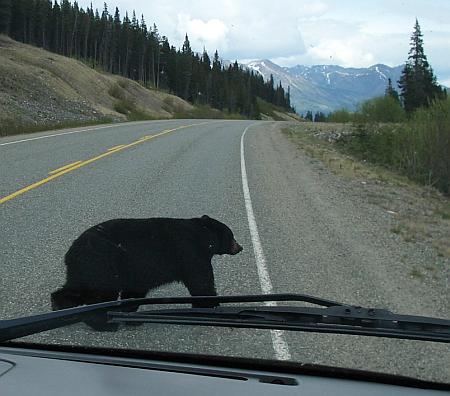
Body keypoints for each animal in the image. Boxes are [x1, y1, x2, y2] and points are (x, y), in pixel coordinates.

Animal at [51, 215, 243, 330]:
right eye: (232, 236)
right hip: (102, 266)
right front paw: (210, 305)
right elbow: (201, 282)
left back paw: (59, 310)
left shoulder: (138, 273)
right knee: (98, 297)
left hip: (85, 269)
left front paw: (131, 315)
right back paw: (104, 325)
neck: (204, 235)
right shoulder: (190, 254)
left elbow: (134, 292)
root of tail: (72, 251)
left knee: (73, 289)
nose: (240, 247)